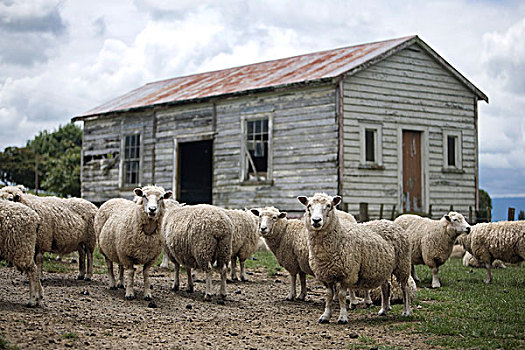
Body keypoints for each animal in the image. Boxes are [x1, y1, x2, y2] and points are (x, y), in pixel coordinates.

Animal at [296, 193, 412, 324]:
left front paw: (342, 317)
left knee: (405, 288)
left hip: (403, 265)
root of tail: (390, 222)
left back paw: (406, 311)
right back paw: (384, 310)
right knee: (386, 286)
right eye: (309, 206)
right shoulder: (326, 275)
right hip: (383, 267)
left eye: (329, 205)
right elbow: (329, 295)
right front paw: (325, 316)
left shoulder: (347, 274)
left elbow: (341, 295)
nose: (316, 220)